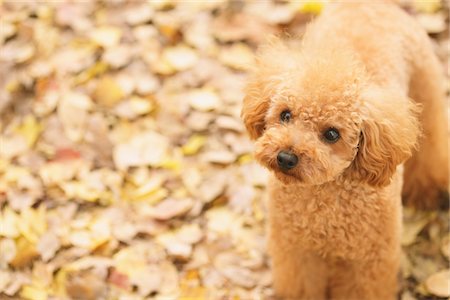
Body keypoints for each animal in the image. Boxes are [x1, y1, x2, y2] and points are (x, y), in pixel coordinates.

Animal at [243, 1, 450, 298]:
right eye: (285, 115)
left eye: (331, 134)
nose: (285, 157)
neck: (324, 196)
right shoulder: (297, 252)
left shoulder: (367, 260)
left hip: (426, 90)